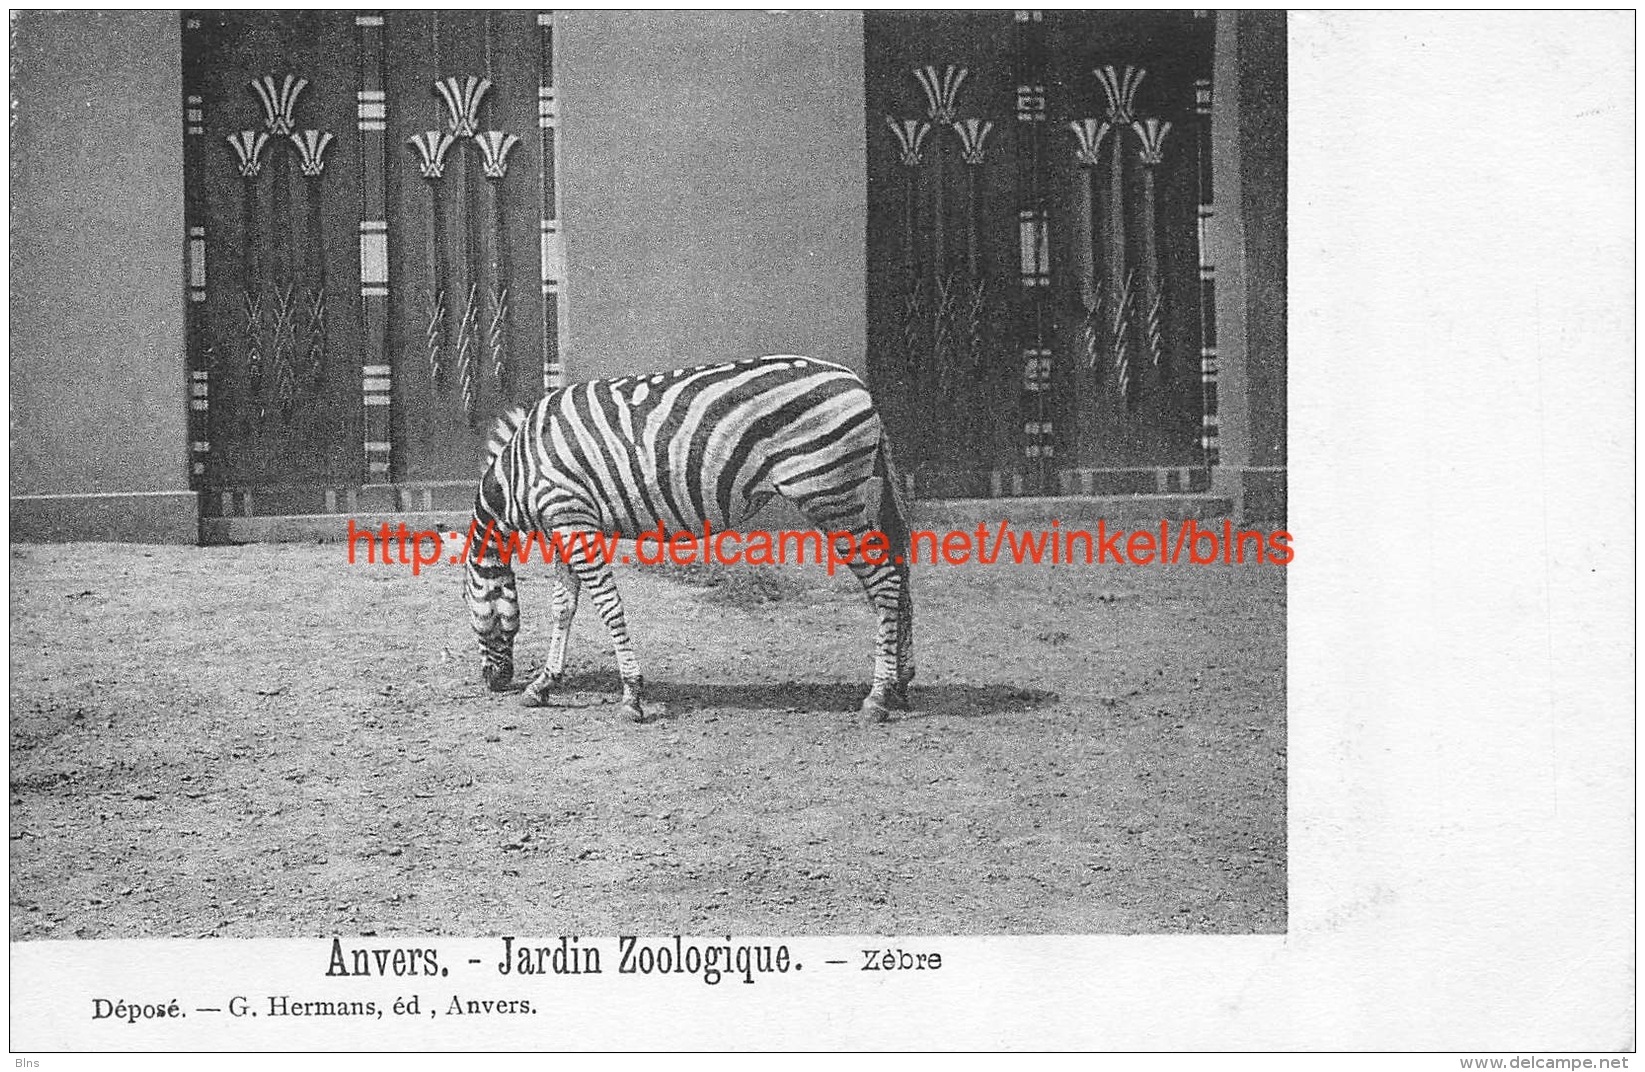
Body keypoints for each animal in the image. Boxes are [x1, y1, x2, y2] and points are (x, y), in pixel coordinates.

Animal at [464, 354, 915, 723]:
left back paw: (877, 697)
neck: (519, 471)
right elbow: (563, 608)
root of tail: (857, 382)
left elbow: (608, 606)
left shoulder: (572, 518)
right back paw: (900, 683)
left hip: (829, 495)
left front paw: (632, 695)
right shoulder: (565, 524)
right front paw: (543, 684)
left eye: (469, 607)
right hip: (853, 495)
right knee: (899, 573)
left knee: (885, 582)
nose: (494, 681)